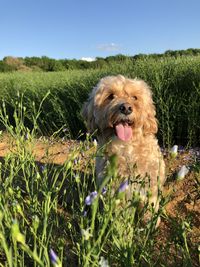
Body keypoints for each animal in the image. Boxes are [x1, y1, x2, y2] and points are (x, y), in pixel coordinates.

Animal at [81, 75, 166, 220]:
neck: (126, 147)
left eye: (135, 97)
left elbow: (150, 206)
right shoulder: (115, 189)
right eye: (110, 96)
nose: (126, 108)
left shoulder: (150, 185)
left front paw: (150, 221)